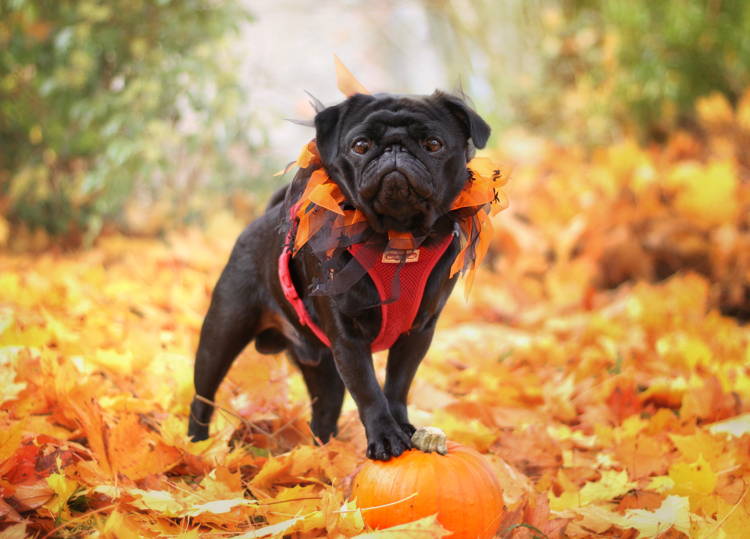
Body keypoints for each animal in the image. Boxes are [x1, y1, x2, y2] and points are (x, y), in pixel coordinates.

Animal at [189, 90, 494, 462]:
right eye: (360, 145)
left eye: (433, 144)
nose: (395, 149)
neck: (397, 238)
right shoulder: (348, 339)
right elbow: (368, 390)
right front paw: (386, 437)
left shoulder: (417, 333)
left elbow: (396, 385)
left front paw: (402, 428)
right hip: (222, 332)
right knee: (202, 397)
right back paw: (195, 446)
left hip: (325, 368)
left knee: (323, 419)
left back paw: (325, 458)